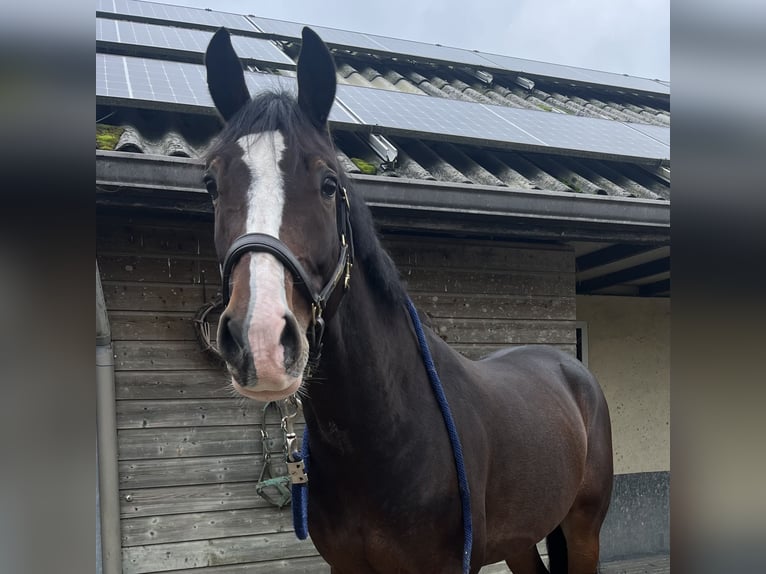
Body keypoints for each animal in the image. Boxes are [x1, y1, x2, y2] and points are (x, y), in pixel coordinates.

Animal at [202, 27, 612, 574]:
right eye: (211, 183)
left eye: (329, 183)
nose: (261, 339)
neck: (385, 435)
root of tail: (572, 370)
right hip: (521, 541)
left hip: (584, 529)